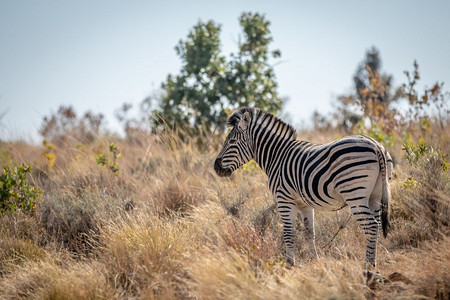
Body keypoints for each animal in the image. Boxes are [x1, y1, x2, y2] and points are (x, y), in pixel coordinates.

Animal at [213, 106, 392, 266]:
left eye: (232, 141)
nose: (216, 167)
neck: (277, 156)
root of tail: (376, 145)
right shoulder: (305, 204)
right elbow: (309, 233)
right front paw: (315, 260)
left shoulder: (284, 199)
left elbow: (288, 233)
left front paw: (289, 264)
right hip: (375, 196)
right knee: (376, 227)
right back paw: (372, 264)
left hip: (354, 194)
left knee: (371, 226)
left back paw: (368, 267)